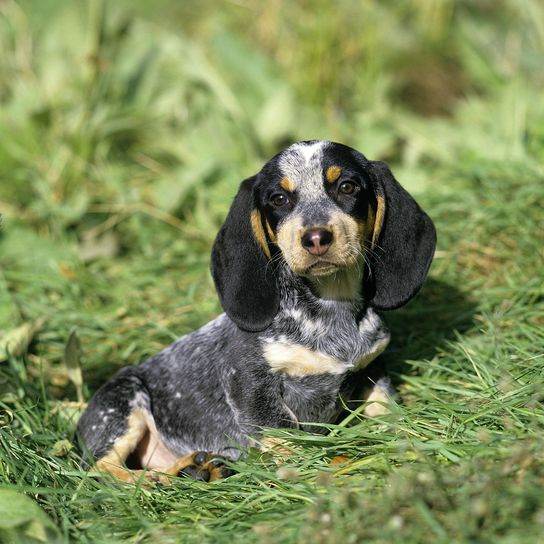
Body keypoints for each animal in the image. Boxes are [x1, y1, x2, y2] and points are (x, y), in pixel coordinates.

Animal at [78, 141, 438, 484]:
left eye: (347, 187)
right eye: (278, 198)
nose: (316, 238)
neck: (330, 308)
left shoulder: (372, 368)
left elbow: (387, 412)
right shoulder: (251, 384)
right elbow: (288, 438)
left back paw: (192, 469)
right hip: (124, 400)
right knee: (99, 469)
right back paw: (153, 480)